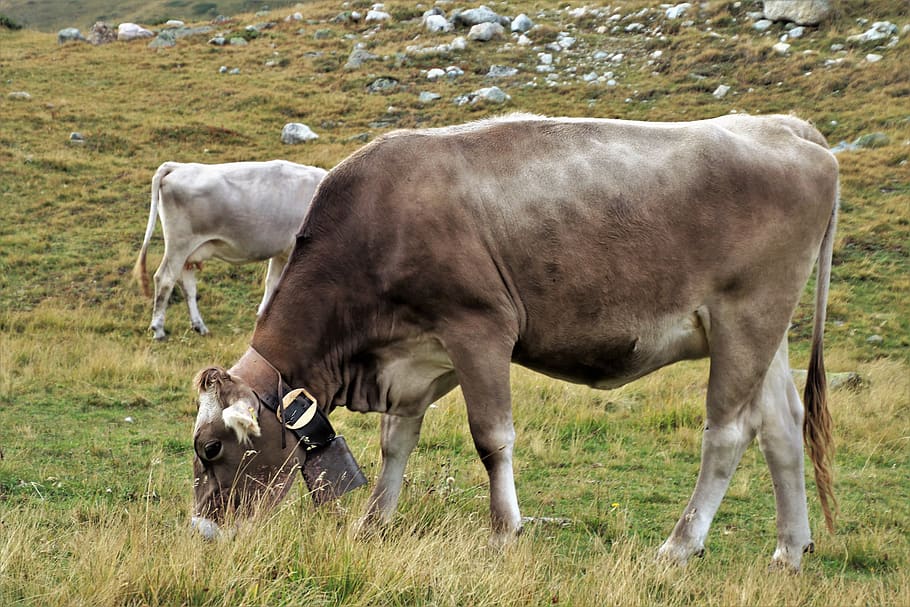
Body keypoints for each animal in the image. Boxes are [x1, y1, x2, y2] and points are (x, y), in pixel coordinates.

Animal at [133, 160, 327, 340]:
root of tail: (177, 166)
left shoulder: (281, 253)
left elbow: (272, 283)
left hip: (188, 252)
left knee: (186, 284)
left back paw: (199, 326)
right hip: (179, 245)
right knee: (165, 279)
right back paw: (158, 329)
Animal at [189, 113, 838, 571]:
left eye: (211, 449)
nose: (202, 533)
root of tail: (784, 127)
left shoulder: (480, 328)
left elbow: (491, 437)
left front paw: (505, 531)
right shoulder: (416, 356)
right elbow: (396, 442)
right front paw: (373, 523)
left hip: (745, 316)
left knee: (728, 433)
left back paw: (680, 545)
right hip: (766, 330)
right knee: (782, 426)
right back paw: (790, 549)